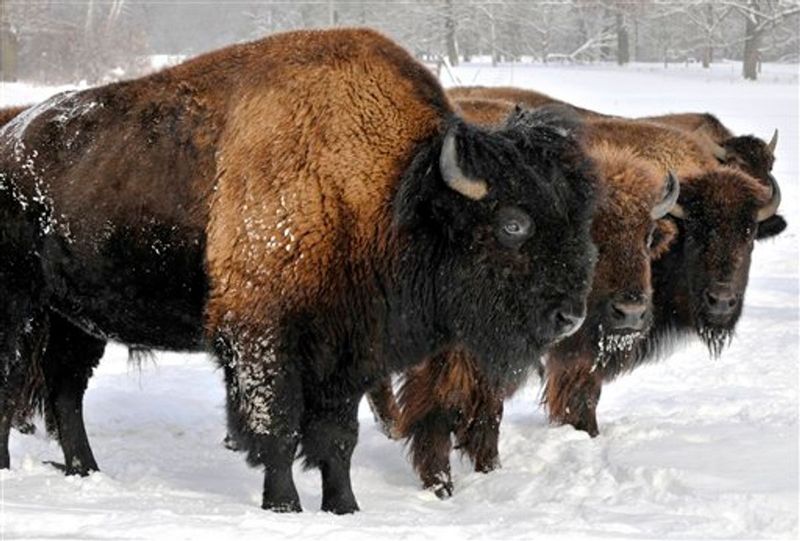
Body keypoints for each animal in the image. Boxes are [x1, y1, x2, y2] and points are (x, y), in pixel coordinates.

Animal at [1, 28, 600, 510]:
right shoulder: (263, 339)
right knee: (15, 385)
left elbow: (337, 437)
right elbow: (279, 429)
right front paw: (284, 506)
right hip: (21, 310)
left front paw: (344, 507)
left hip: (75, 321)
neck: (391, 189)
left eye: (580, 218)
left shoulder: (351, 351)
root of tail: (11, 142)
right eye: (513, 224)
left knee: (65, 392)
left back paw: (87, 471)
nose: (570, 315)